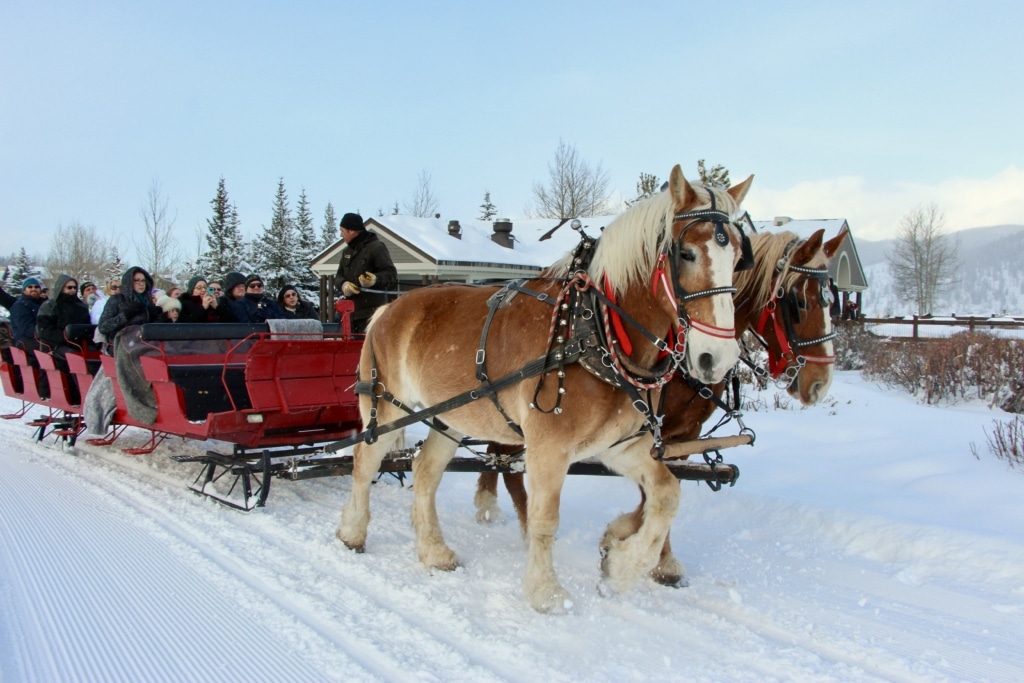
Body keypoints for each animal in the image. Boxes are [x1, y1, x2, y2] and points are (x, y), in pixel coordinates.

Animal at [336, 164, 753, 612]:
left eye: (737, 260)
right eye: (687, 254)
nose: (717, 358)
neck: (594, 328)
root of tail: (388, 307)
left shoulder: (621, 445)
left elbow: (667, 495)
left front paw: (619, 561)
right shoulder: (548, 447)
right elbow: (544, 519)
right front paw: (546, 593)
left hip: (447, 417)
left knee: (425, 471)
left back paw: (434, 552)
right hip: (387, 408)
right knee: (364, 460)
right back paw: (353, 532)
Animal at [474, 226, 848, 587]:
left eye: (835, 304)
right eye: (799, 302)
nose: (820, 383)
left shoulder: (683, 434)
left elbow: (665, 487)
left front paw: (628, 541)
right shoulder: (656, 430)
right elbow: (650, 492)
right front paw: (646, 554)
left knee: (499, 455)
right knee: (506, 462)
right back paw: (506, 515)